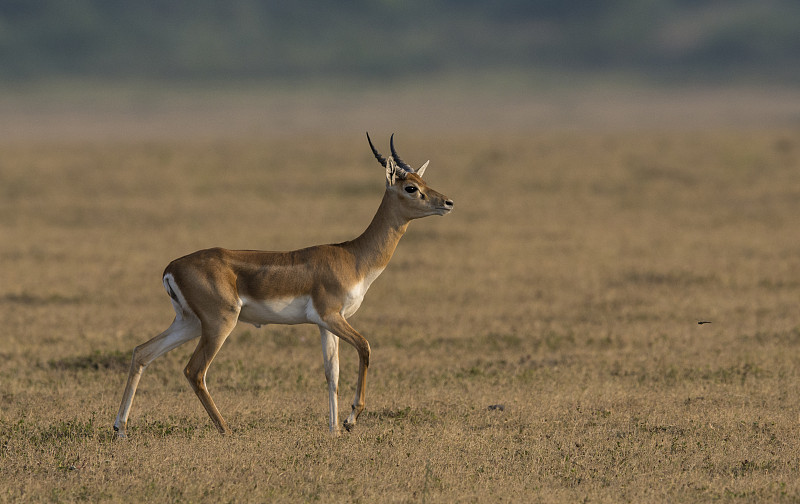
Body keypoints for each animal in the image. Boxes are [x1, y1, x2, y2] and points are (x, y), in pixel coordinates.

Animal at [112, 134, 454, 438]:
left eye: (423, 181)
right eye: (411, 187)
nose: (448, 202)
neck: (353, 257)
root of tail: (171, 267)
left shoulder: (326, 324)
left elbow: (332, 373)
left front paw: (333, 430)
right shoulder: (332, 316)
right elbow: (365, 347)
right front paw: (350, 420)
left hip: (190, 323)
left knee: (142, 352)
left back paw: (120, 429)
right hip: (219, 323)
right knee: (194, 371)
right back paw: (227, 430)